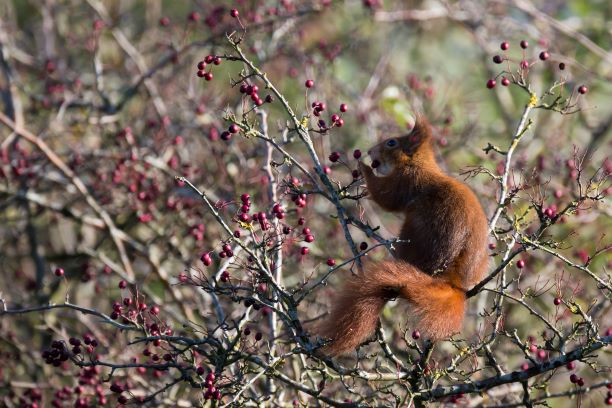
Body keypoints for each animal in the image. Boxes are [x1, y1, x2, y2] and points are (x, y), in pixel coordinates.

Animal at [320, 114, 488, 354]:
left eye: (392, 143)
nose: (369, 151)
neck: (416, 162)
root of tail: (454, 282)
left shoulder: (407, 180)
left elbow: (385, 196)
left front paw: (364, 167)